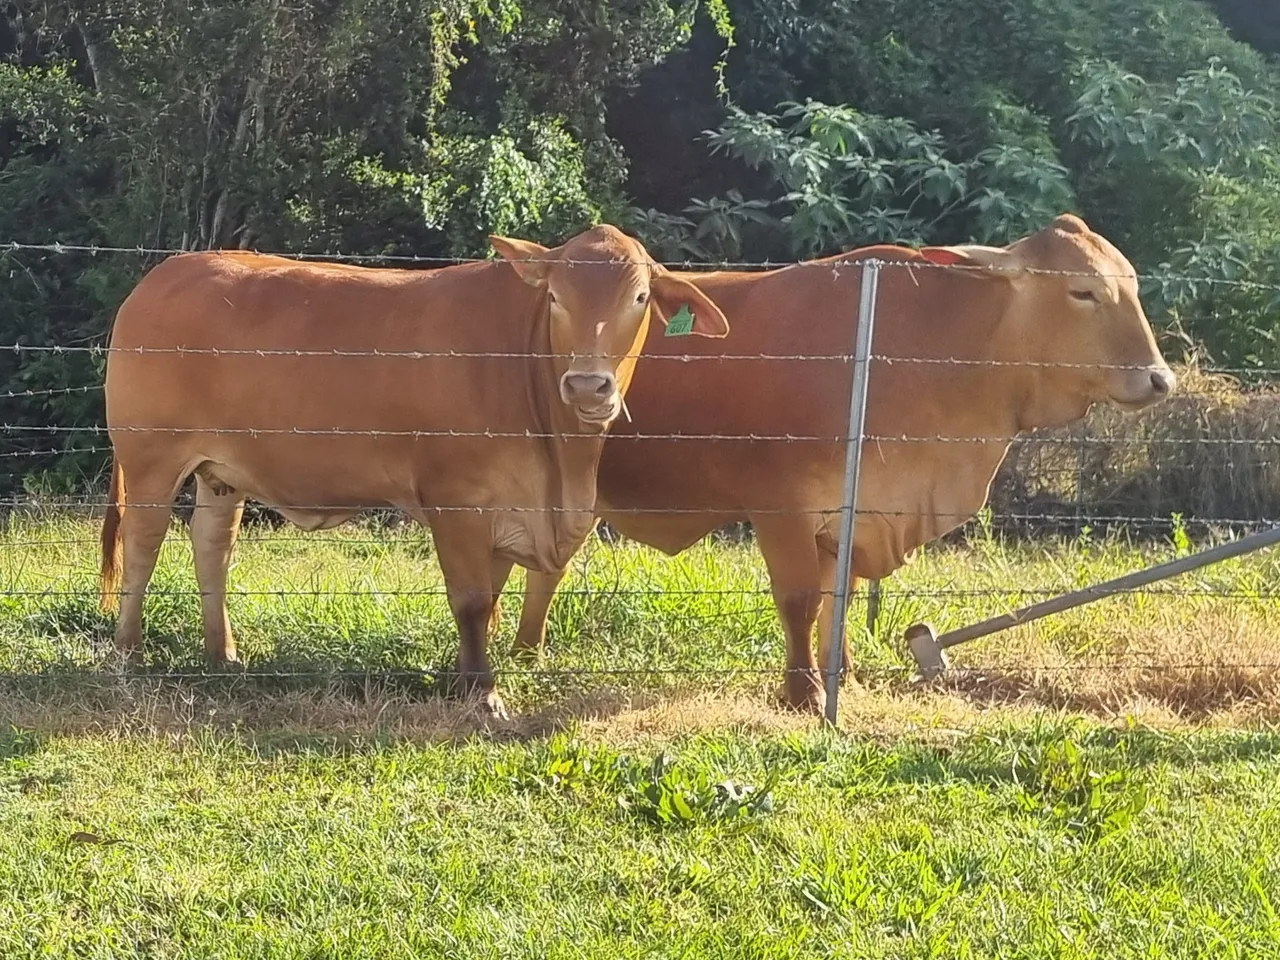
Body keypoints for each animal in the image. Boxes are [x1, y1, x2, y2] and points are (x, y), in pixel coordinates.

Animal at [99, 225, 732, 716]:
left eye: (640, 297)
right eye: (555, 298)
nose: (586, 384)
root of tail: (167, 272)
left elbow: (500, 600)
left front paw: (475, 673)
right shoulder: (457, 500)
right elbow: (473, 599)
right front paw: (483, 694)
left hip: (220, 471)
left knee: (212, 545)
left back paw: (223, 654)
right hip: (151, 459)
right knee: (143, 544)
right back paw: (128, 651)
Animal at [501, 217, 1177, 716]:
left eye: (1130, 284)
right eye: (1082, 291)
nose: (1159, 378)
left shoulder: (852, 513)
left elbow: (839, 598)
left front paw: (842, 677)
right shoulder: (781, 507)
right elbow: (801, 598)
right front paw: (801, 692)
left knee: (545, 569)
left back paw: (527, 655)